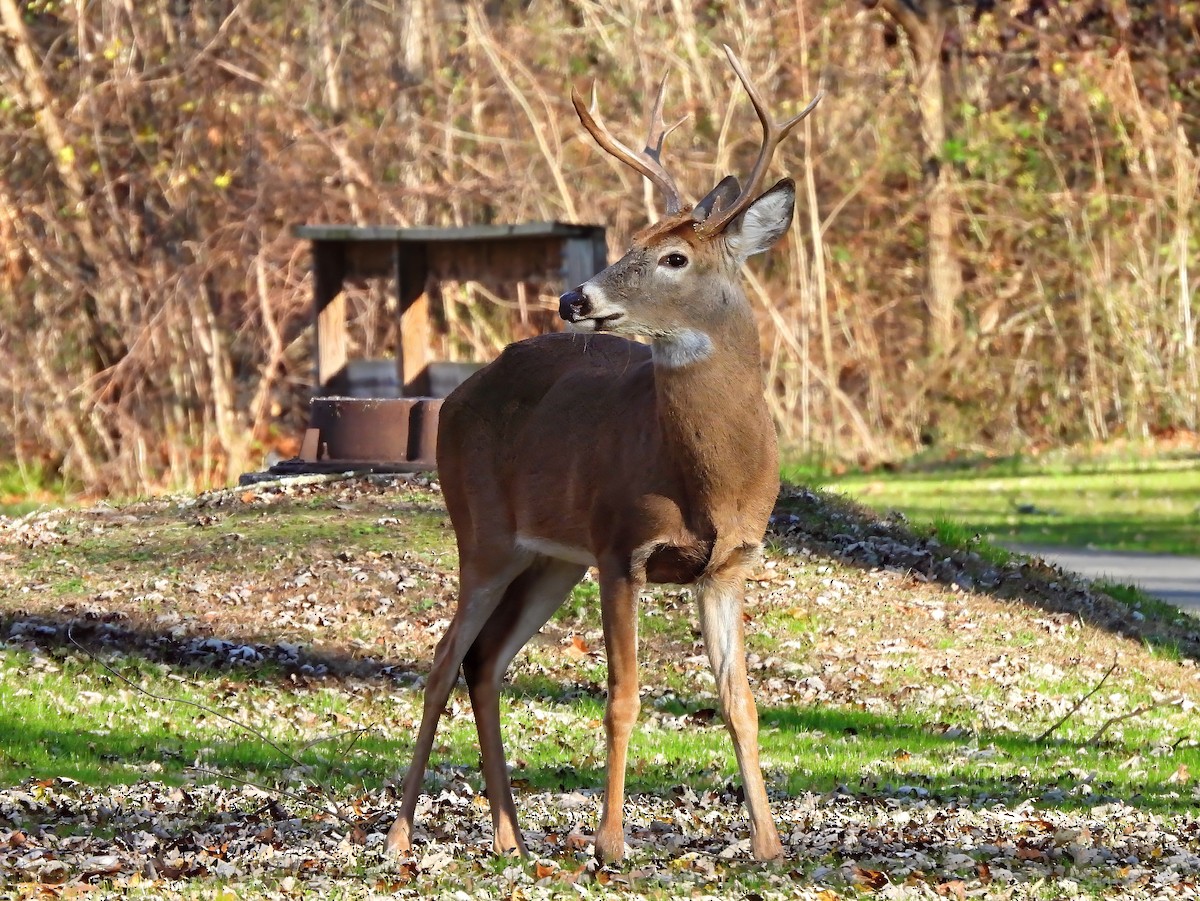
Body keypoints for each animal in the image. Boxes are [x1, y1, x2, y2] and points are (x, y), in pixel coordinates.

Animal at [386, 46, 821, 864]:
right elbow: (623, 696)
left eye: (674, 255)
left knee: (485, 662)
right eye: (628, 242)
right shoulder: (623, 547)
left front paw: (770, 843)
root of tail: (457, 396)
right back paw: (399, 837)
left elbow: (740, 701)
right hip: (483, 533)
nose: (573, 299)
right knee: (440, 660)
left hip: (551, 558)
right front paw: (612, 841)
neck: (710, 480)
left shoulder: (729, 564)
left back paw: (510, 834)